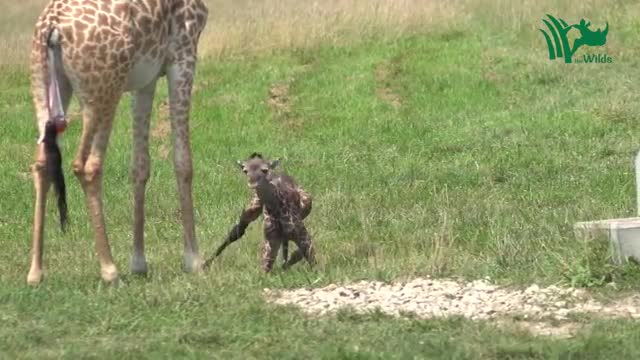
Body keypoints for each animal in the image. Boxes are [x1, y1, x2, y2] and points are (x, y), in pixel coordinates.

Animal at [27, 0, 208, 284]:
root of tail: (52, 27)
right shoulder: (183, 53)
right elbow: (183, 162)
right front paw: (194, 261)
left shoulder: (146, 78)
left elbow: (140, 166)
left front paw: (139, 262)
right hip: (104, 92)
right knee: (87, 165)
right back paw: (109, 269)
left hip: (44, 89)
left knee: (42, 164)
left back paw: (35, 272)